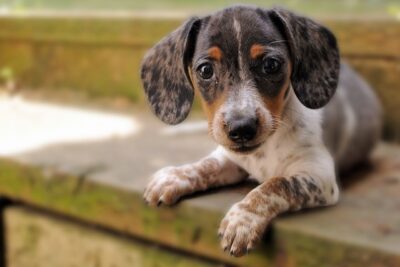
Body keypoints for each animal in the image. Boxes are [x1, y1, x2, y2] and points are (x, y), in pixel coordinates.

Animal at [140, 5, 382, 258]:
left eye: (271, 65)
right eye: (205, 70)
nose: (241, 128)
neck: (265, 150)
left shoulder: (319, 174)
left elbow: (276, 184)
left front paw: (243, 220)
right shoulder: (230, 159)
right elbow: (206, 165)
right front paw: (173, 176)